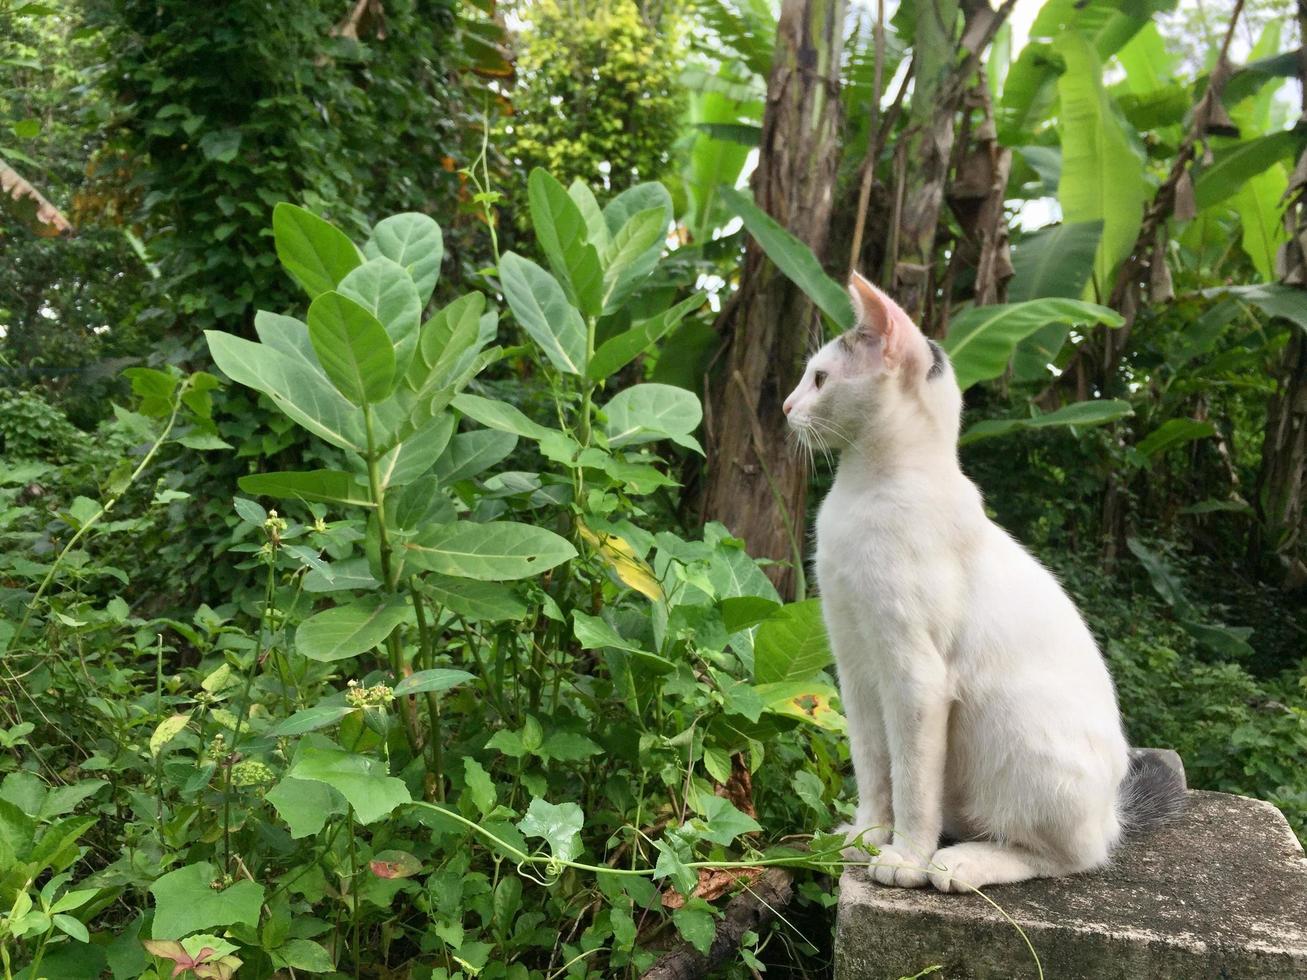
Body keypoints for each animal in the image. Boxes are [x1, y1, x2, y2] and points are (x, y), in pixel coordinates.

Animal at [778, 273, 1191, 893]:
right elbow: (873, 765)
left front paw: (904, 857)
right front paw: (864, 835)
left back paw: (962, 861)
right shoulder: (854, 665)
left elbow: (911, 780)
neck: (863, 493)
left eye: (820, 379)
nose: (785, 406)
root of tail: (1113, 811)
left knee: (1073, 856)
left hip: (1018, 726)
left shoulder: (915, 677)